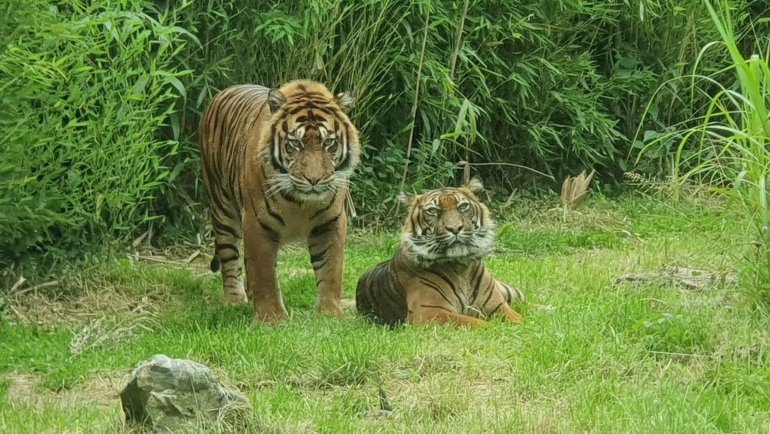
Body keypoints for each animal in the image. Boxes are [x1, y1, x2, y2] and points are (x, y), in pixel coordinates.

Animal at [196, 79, 356, 322]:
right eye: (295, 144)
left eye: (329, 143)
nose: (314, 180)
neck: (300, 203)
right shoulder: (256, 222)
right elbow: (264, 274)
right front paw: (271, 319)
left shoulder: (332, 221)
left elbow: (331, 269)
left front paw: (330, 314)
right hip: (222, 208)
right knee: (229, 256)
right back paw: (234, 301)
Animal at [356, 178, 524, 328]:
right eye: (433, 211)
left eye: (463, 206)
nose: (455, 228)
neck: (461, 266)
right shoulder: (430, 312)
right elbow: (476, 323)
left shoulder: (497, 305)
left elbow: (519, 319)